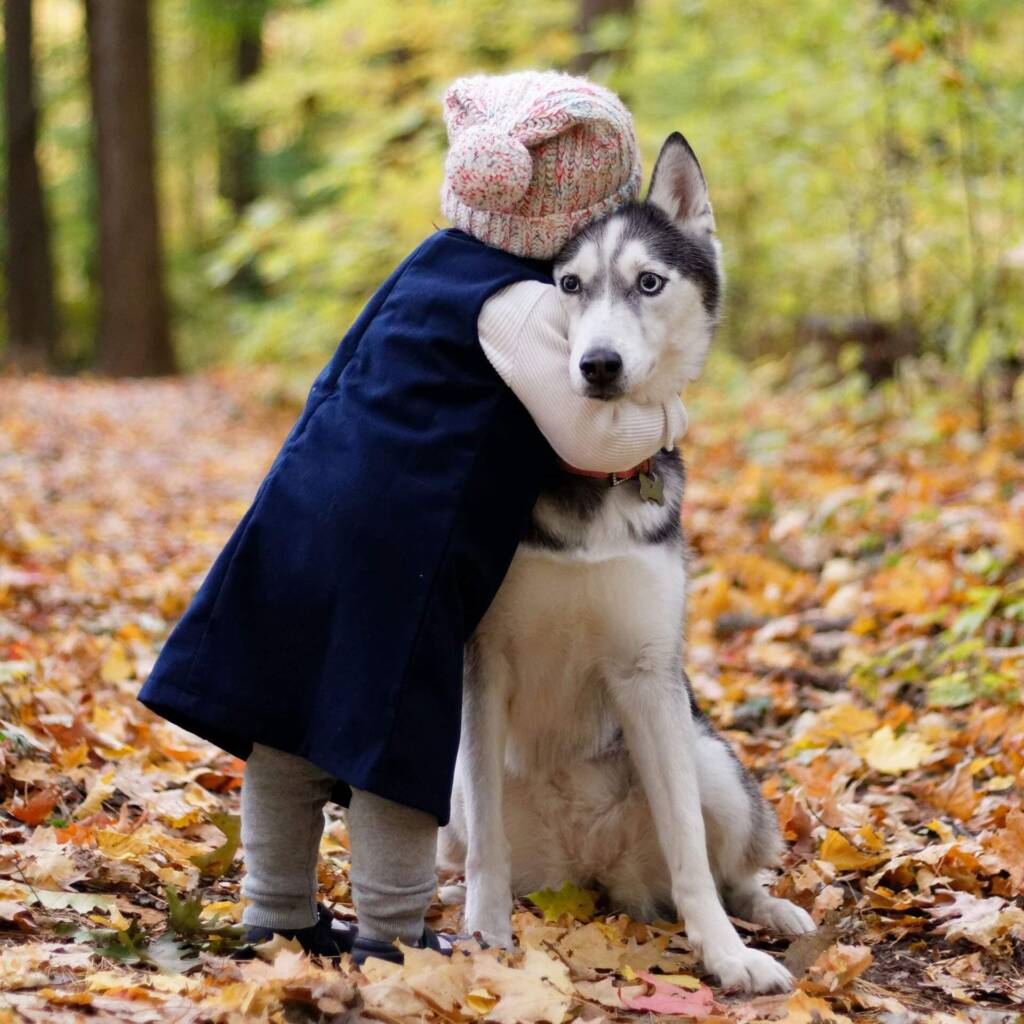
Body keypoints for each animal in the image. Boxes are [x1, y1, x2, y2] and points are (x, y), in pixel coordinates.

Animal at [440, 134, 815, 991]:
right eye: (569, 286)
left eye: (649, 282)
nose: (599, 365)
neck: (591, 474)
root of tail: (590, 871)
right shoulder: (485, 664)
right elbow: (487, 849)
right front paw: (485, 938)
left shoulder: (649, 673)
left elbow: (689, 850)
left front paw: (725, 955)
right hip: (452, 801)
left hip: (712, 761)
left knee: (730, 871)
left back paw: (769, 916)